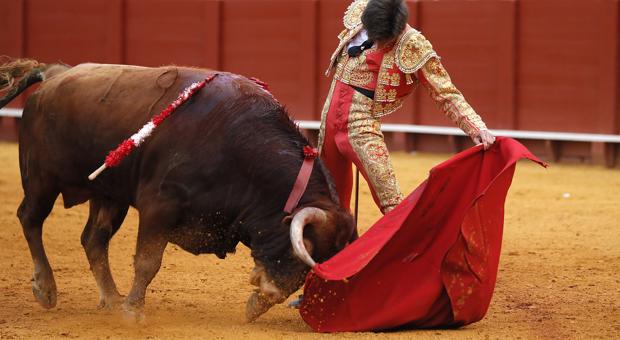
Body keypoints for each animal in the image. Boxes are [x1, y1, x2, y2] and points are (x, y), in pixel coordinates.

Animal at [0, 59, 356, 322]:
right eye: (305, 247)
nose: (270, 296)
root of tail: (54, 74)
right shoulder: (158, 207)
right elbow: (148, 262)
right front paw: (134, 312)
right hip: (41, 180)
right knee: (30, 219)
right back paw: (46, 288)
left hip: (109, 195)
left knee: (93, 239)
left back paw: (111, 298)